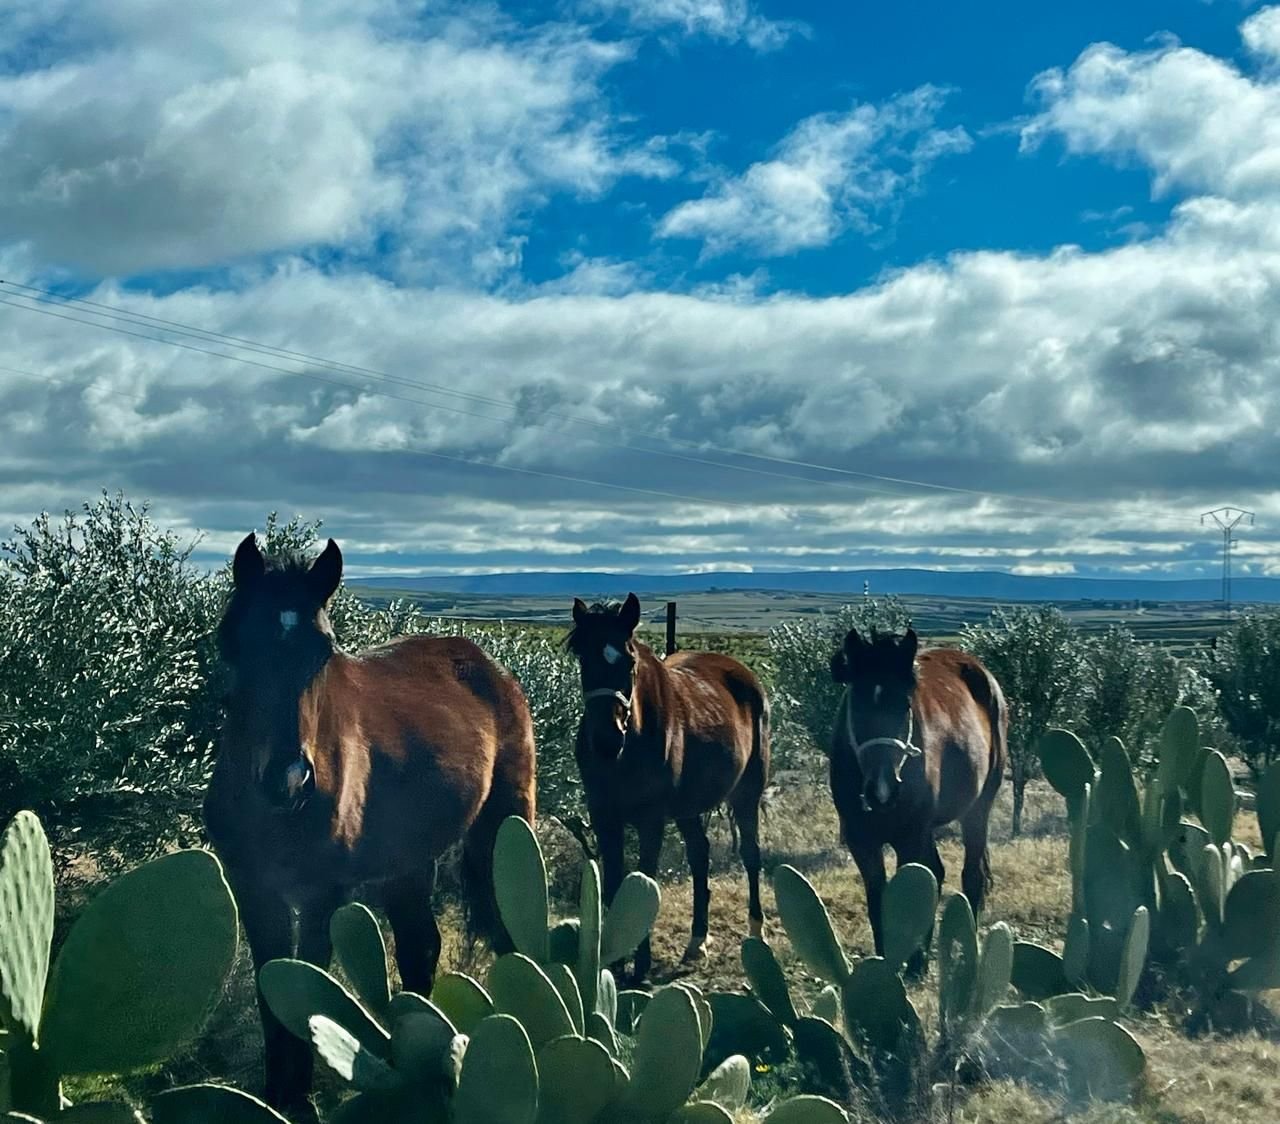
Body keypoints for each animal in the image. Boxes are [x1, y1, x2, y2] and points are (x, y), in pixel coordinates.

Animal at [204, 534, 536, 1120]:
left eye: (324, 650)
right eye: (236, 643)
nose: (289, 780)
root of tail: (490, 668)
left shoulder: (321, 894)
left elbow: (304, 989)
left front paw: (298, 1100)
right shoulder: (252, 889)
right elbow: (271, 993)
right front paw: (275, 1096)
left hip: (505, 826)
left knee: (504, 929)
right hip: (410, 862)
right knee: (420, 947)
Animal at [565, 593, 770, 983]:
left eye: (629, 662)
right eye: (583, 659)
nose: (606, 740)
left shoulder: (651, 820)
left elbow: (645, 880)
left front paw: (641, 965)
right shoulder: (604, 817)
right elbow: (613, 884)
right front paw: (614, 962)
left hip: (747, 791)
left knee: (751, 853)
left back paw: (756, 931)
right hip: (688, 807)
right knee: (700, 854)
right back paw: (697, 940)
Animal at [828, 626, 1006, 970]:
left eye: (905, 706)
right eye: (856, 704)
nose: (882, 789)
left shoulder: (909, 836)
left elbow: (911, 893)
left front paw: (914, 961)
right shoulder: (861, 840)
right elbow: (879, 899)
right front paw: (888, 958)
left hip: (978, 808)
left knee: (971, 876)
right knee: (937, 872)